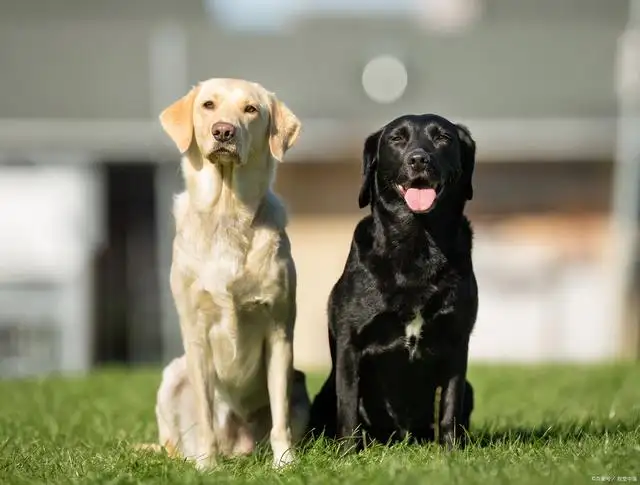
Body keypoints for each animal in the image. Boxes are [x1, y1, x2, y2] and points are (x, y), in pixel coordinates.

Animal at [152, 78, 308, 468]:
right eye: (208, 105)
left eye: (250, 109)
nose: (223, 131)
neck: (227, 213)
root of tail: (237, 448)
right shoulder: (196, 334)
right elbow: (205, 414)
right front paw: (207, 466)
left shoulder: (279, 331)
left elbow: (280, 416)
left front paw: (285, 463)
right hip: (172, 375)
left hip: (299, 383)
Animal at [308, 113, 478, 450]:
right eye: (397, 139)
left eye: (443, 138)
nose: (419, 159)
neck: (418, 243)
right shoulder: (350, 344)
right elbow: (348, 408)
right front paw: (348, 454)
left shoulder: (457, 341)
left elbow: (450, 407)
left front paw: (452, 453)